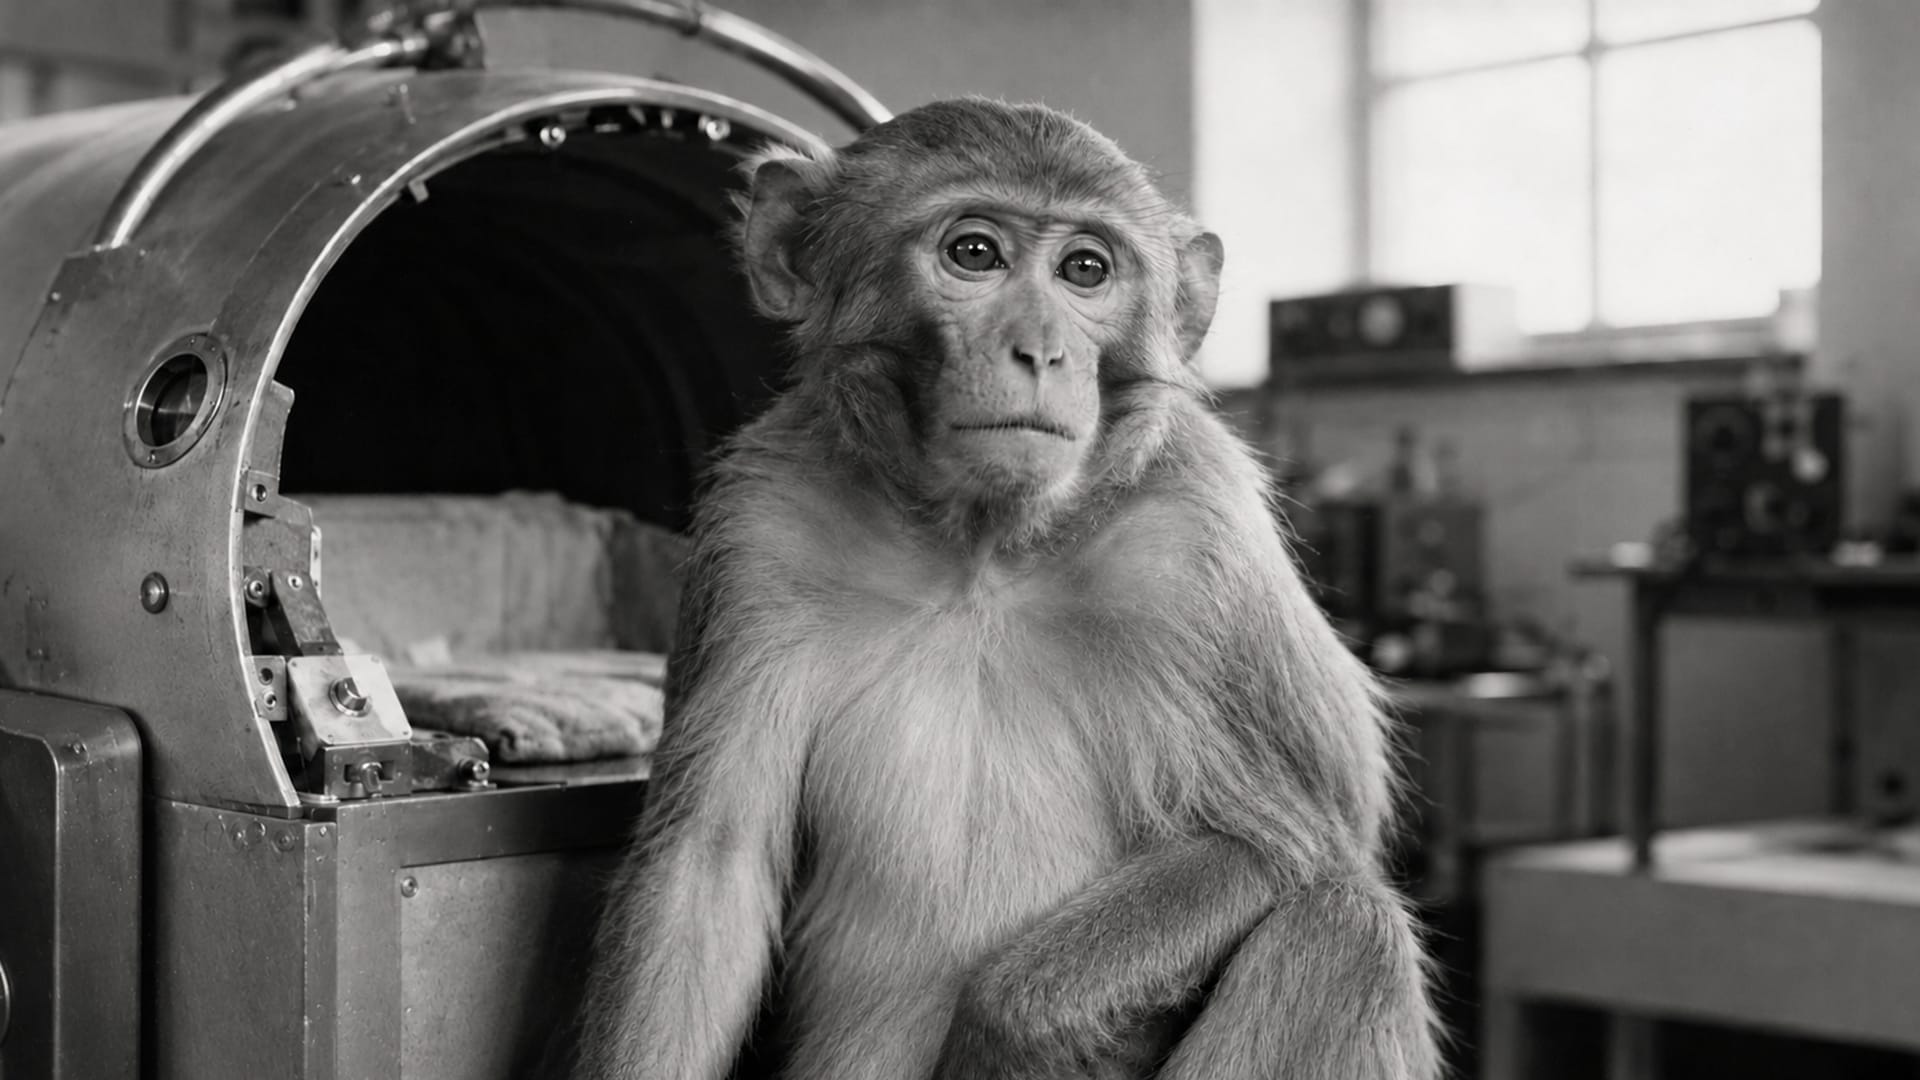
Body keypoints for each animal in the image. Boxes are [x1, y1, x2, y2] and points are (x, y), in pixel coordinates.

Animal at [567, 98, 1438, 1080]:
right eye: (974, 253)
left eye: (1086, 269)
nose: (1043, 350)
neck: (981, 554)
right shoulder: (758, 525)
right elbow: (710, 868)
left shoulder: (1200, 541)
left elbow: (1303, 843)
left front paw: (1007, 1029)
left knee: (1344, 926)